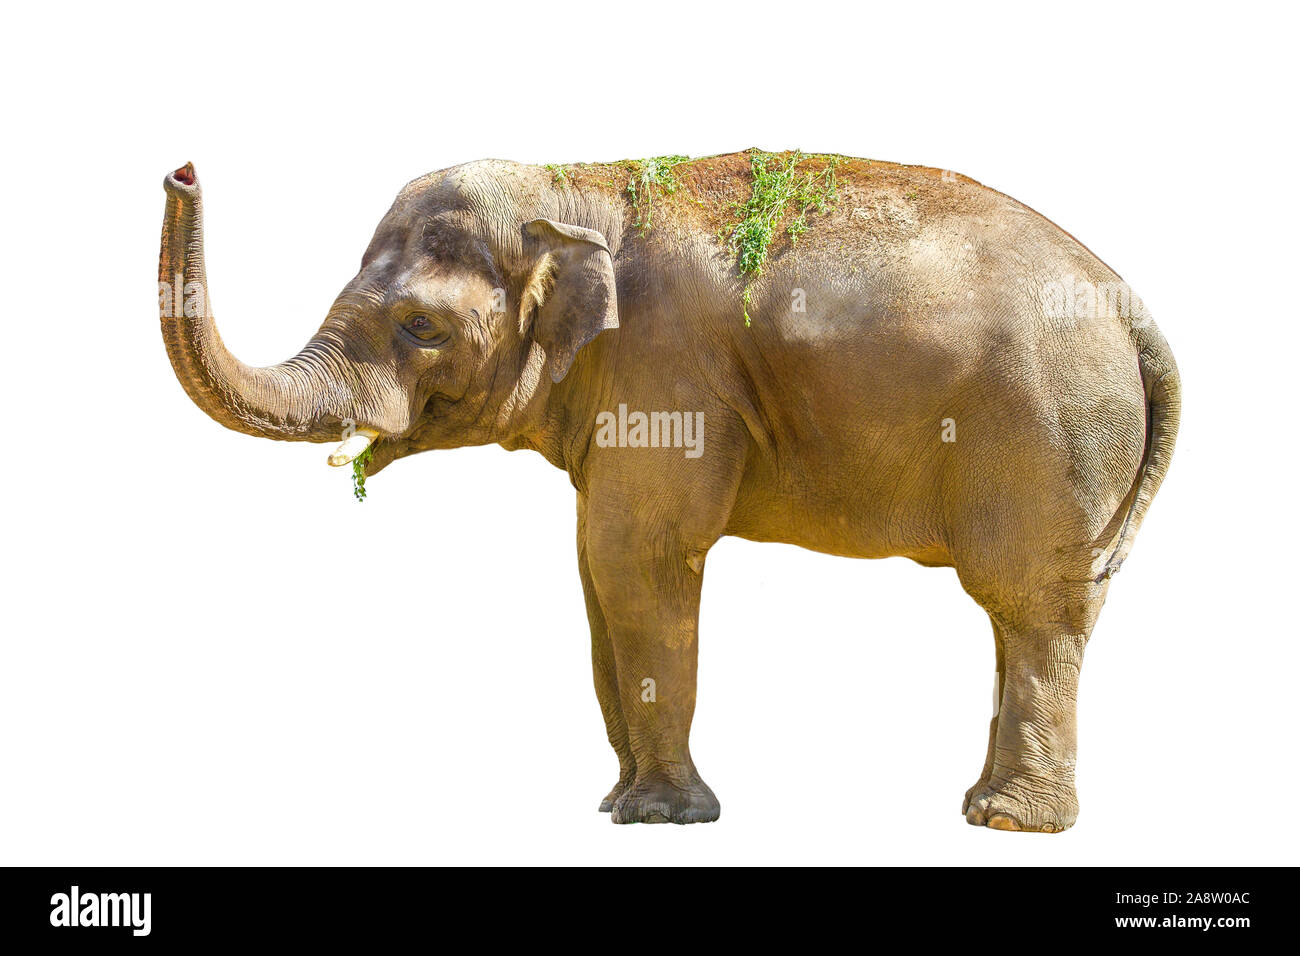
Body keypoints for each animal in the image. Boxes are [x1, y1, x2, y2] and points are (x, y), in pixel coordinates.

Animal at [159, 149, 1180, 832]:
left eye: (420, 326)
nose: (182, 170)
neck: (576, 189)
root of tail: (1132, 309)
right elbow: (593, 569)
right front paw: (615, 804)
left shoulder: (667, 377)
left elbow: (637, 558)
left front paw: (660, 819)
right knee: (1021, 614)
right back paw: (984, 805)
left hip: (1049, 431)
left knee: (1031, 604)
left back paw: (1010, 823)